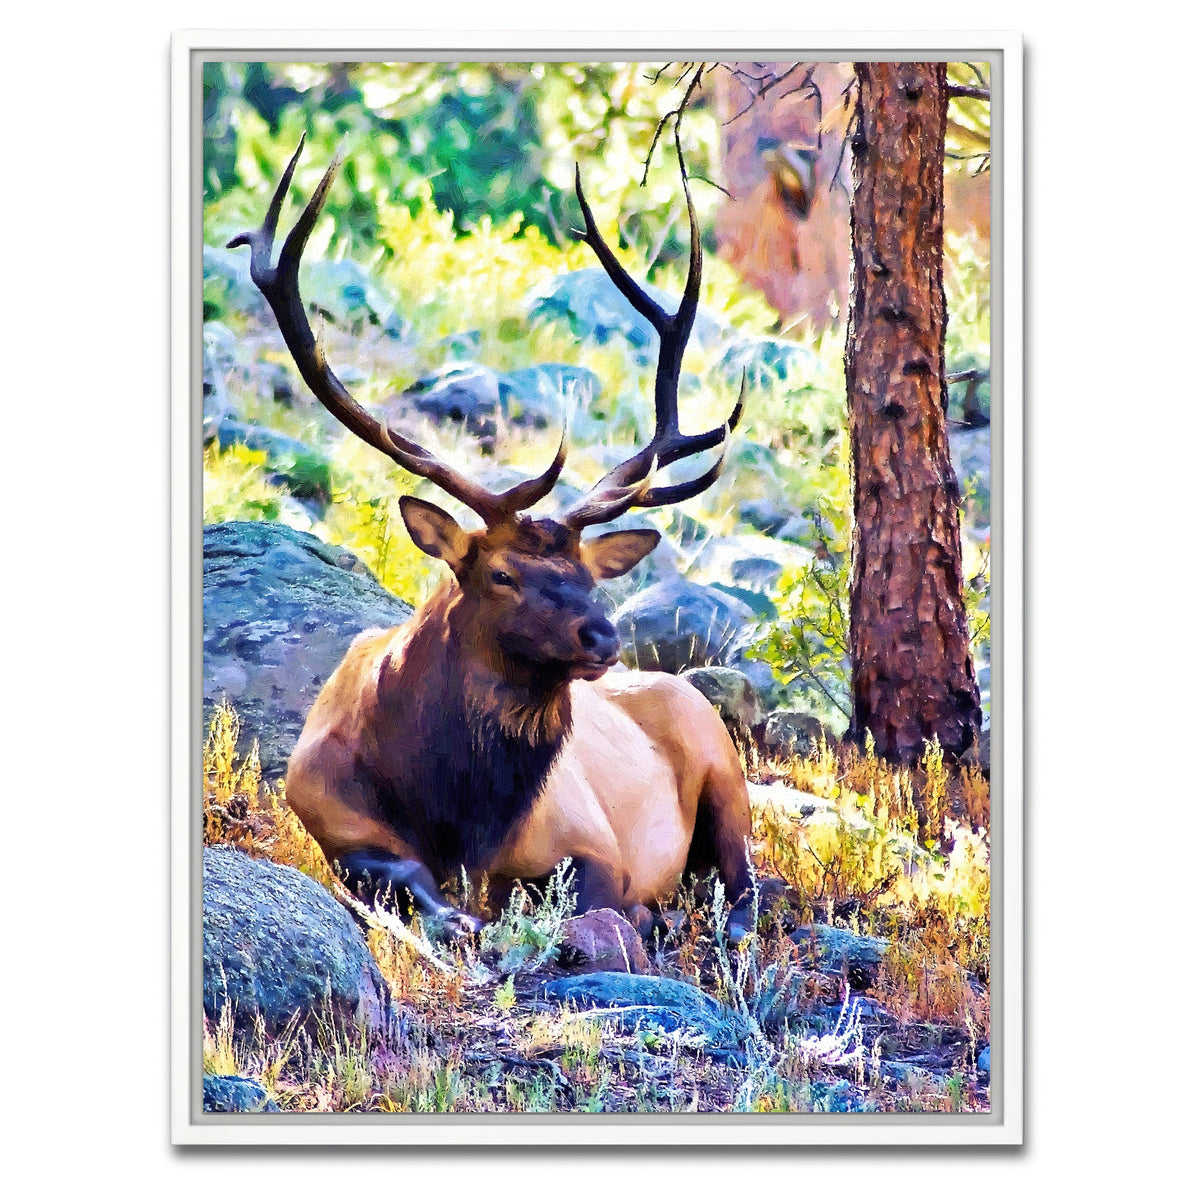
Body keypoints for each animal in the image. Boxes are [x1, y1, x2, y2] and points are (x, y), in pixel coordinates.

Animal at [228, 138, 757, 943]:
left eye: (591, 578)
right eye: (501, 575)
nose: (602, 636)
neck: (458, 816)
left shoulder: (591, 840)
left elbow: (598, 895)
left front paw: (631, 914)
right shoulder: (330, 820)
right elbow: (409, 881)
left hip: (723, 762)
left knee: (750, 882)